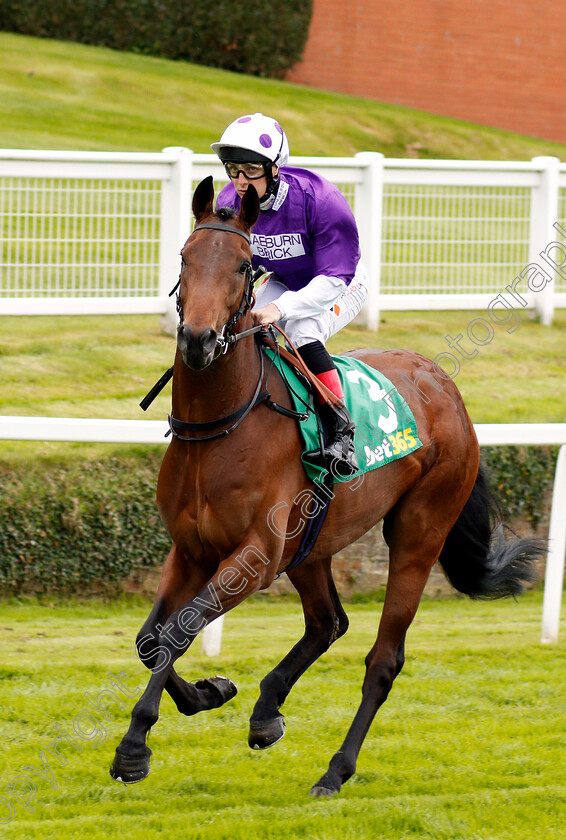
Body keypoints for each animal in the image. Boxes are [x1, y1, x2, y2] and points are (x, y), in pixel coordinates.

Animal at [110, 176, 544, 796]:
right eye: (184, 257)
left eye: (243, 265)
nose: (197, 339)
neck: (221, 429)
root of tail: (447, 389)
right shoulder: (192, 551)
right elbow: (153, 638)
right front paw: (209, 693)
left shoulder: (252, 559)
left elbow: (179, 630)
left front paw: (134, 748)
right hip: (310, 546)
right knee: (327, 622)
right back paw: (267, 712)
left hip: (417, 535)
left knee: (383, 659)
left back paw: (336, 770)